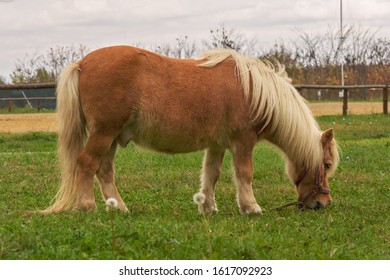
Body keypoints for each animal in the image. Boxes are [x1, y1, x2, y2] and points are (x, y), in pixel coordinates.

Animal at [42, 46, 340, 214]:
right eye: (326, 165)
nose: (323, 204)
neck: (255, 91)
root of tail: (82, 63)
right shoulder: (243, 141)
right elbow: (244, 173)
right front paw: (251, 207)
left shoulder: (217, 145)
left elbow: (211, 174)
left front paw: (208, 207)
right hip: (103, 134)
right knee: (86, 163)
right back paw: (88, 206)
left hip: (111, 137)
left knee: (104, 171)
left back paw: (119, 207)